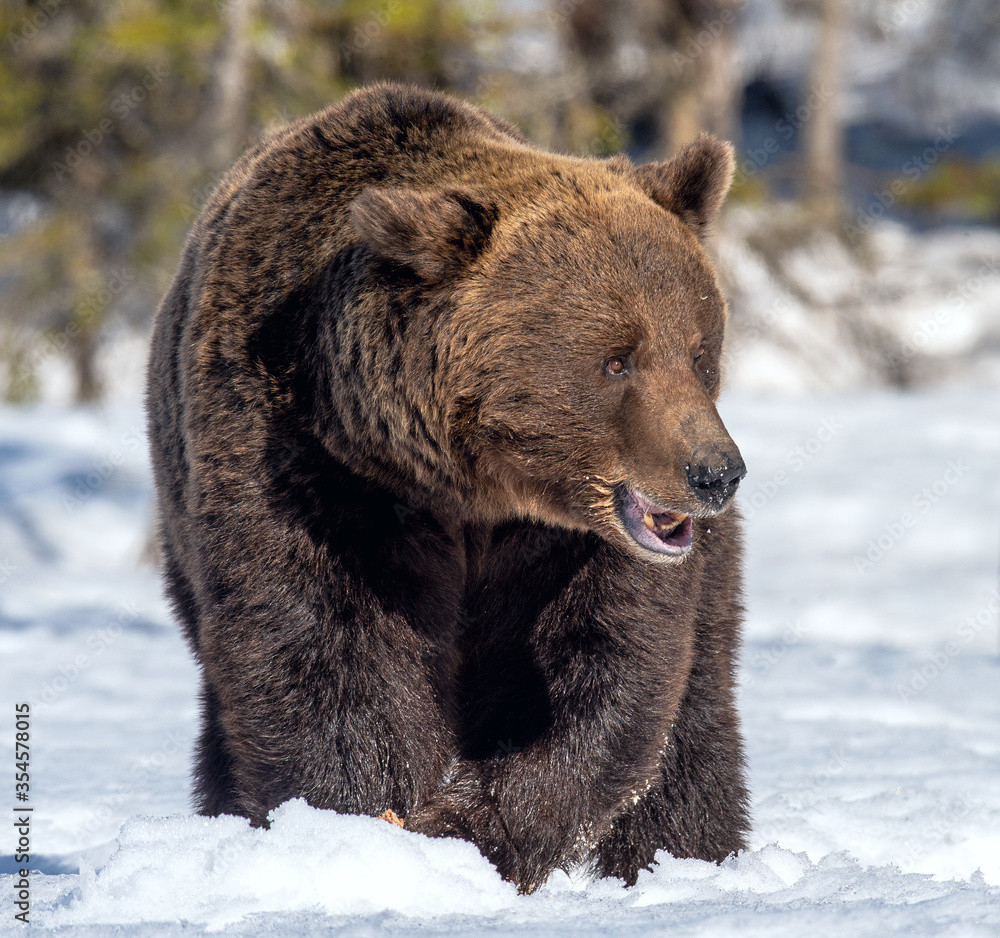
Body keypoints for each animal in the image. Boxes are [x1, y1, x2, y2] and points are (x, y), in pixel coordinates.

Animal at [146, 82, 749, 893]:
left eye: (697, 349)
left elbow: (607, 672)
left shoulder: (571, 547)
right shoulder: (311, 474)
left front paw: (471, 824)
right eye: (617, 359)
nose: (714, 472)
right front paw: (367, 827)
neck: (472, 489)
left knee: (697, 717)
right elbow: (324, 654)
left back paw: (683, 857)